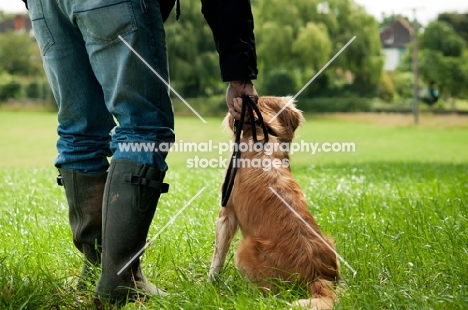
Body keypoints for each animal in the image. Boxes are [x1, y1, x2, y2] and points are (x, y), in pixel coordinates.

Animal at [209, 95, 340, 308]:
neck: (261, 137)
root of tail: (317, 276)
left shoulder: (227, 212)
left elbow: (217, 256)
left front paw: (210, 282)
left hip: (245, 248)